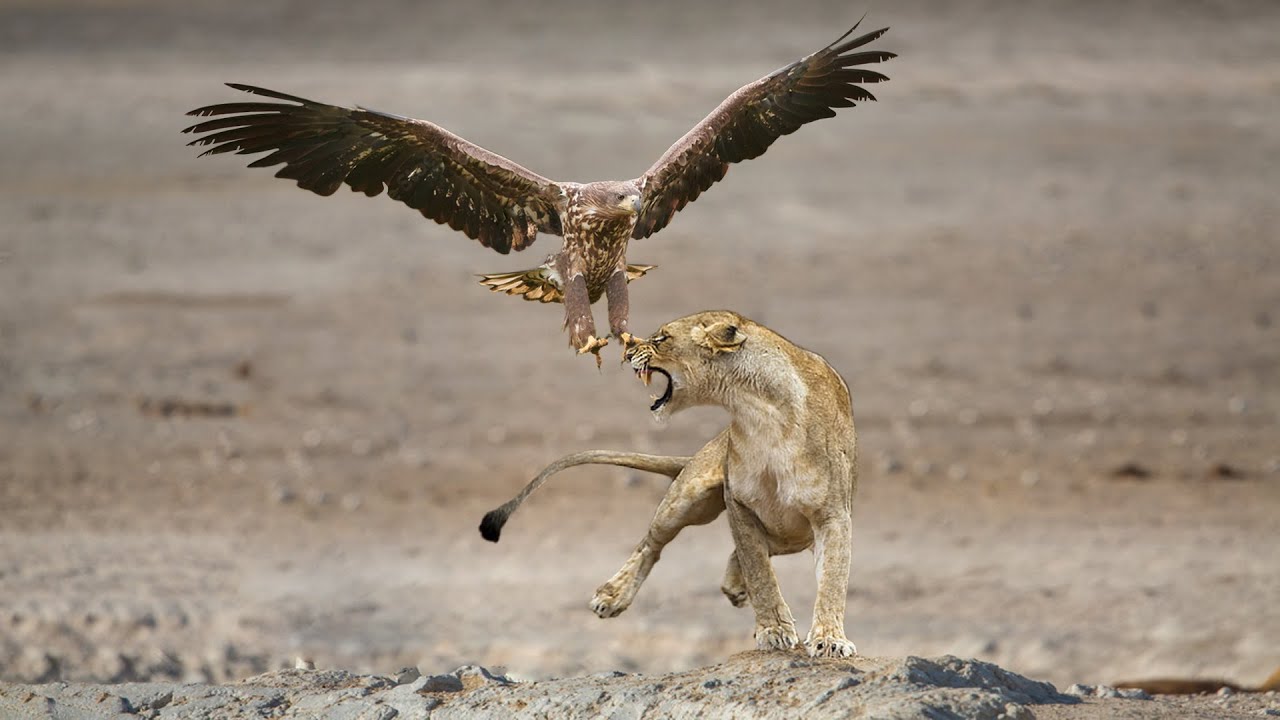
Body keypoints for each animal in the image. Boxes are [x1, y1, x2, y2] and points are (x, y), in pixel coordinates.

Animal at [480, 310, 859, 658]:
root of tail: (714, 443)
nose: (627, 351)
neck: (759, 412)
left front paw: (829, 639)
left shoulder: (832, 515)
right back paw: (613, 595)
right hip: (688, 499)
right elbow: (760, 572)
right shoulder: (739, 503)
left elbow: (832, 578)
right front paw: (774, 630)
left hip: (789, 531)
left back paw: (733, 586)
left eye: (661, 339)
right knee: (651, 544)